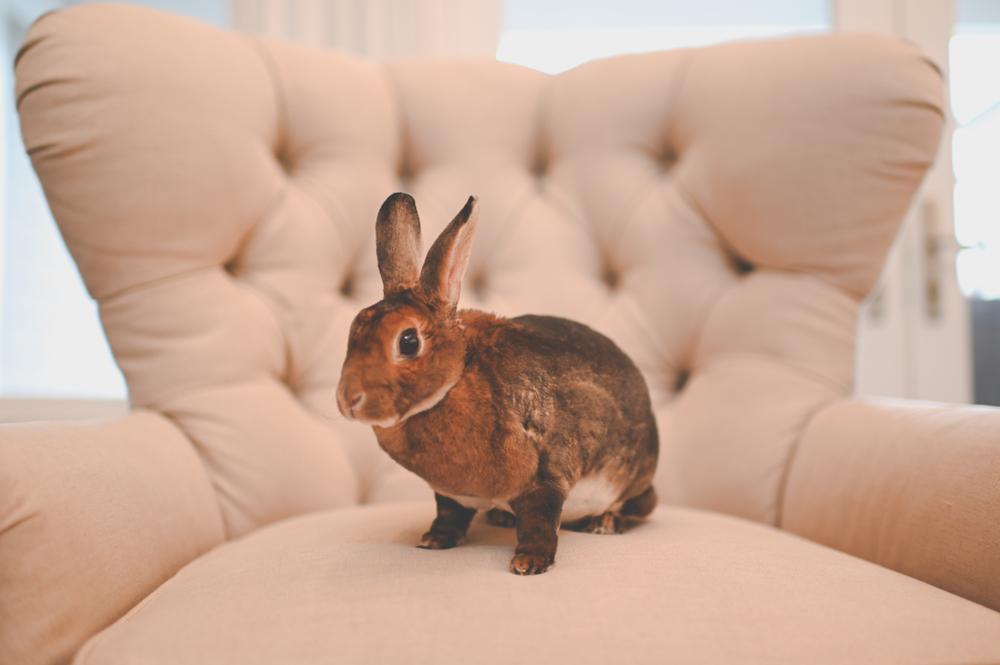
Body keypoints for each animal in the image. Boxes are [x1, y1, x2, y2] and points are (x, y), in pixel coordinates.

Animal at [340, 191, 660, 572]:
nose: (347, 401)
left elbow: (540, 522)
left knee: (644, 503)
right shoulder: (452, 495)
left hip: (630, 475)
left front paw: (529, 564)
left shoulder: (545, 479)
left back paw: (605, 522)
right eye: (353, 328)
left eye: (408, 341)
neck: (458, 376)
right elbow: (448, 516)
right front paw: (433, 541)